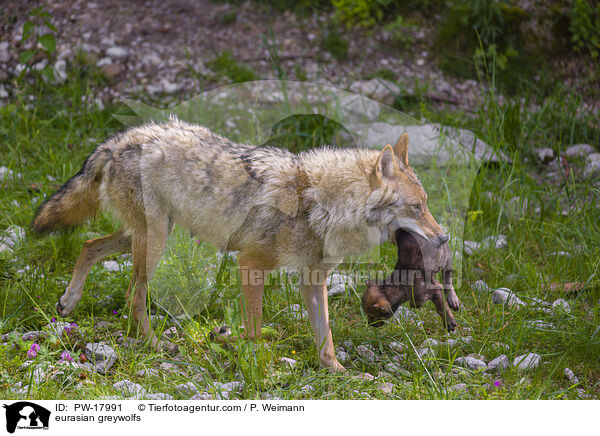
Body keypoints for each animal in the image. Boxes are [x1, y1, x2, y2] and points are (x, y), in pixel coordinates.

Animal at [31, 117, 446, 372]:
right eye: (416, 207)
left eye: (426, 204)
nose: (443, 237)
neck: (319, 203)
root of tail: (118, 139)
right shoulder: (250, 264)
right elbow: (255, 328)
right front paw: (242, 353)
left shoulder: (313, 280)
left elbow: (325, 337)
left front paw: (340, 373)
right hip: (154, 244)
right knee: (134, 297)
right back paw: (154, 345)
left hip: (144, 237)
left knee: (89, 244)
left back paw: (68, 302)